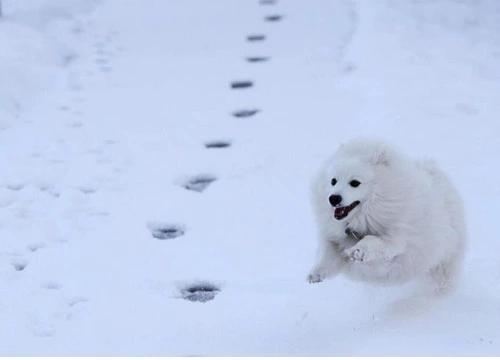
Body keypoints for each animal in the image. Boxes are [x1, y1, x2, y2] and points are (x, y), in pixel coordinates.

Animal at [306, 136, 466, 294]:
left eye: (355, 183)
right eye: (333, 181)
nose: (333, 198)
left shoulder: (397, 241)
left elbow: (372, 240)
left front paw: (358, 251)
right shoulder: (335, 240)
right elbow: (327, 255)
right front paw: (315, 274)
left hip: (444, 258)